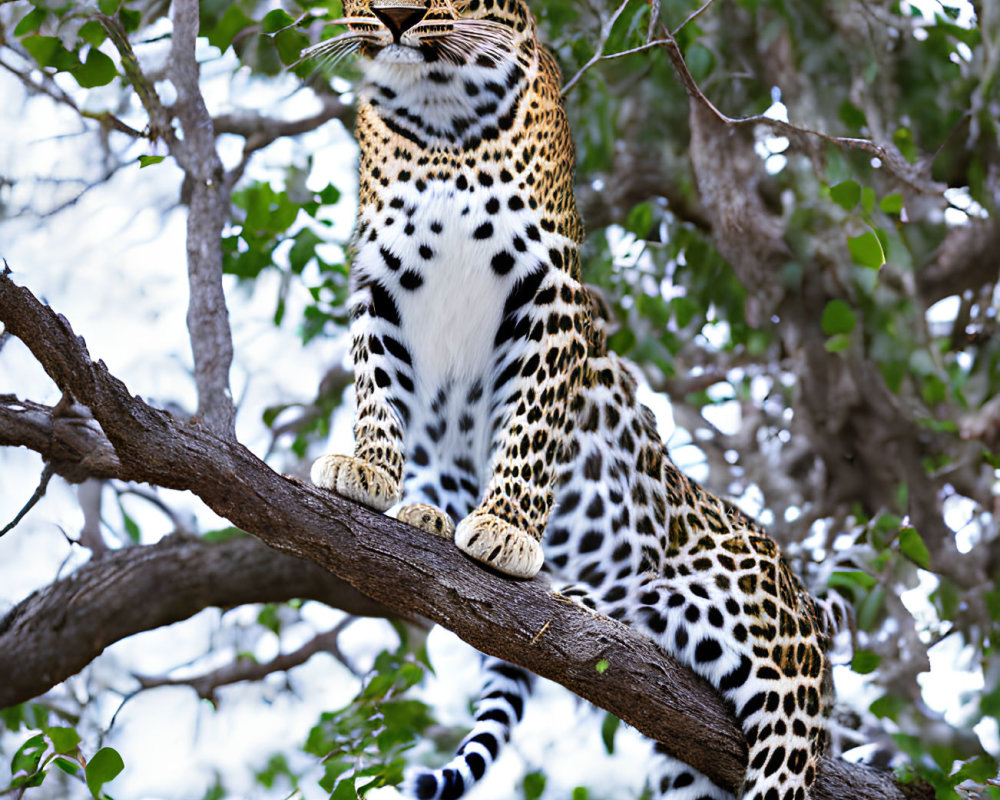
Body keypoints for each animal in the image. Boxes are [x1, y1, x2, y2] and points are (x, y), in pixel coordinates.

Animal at [304, 1, 836, 800]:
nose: (399, 18)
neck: (439, 116)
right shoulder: (382, 277)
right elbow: (379, 384)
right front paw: (370, 471)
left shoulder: (548, 284)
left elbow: (532, 420)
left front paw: (506, 530)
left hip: (764, 653)